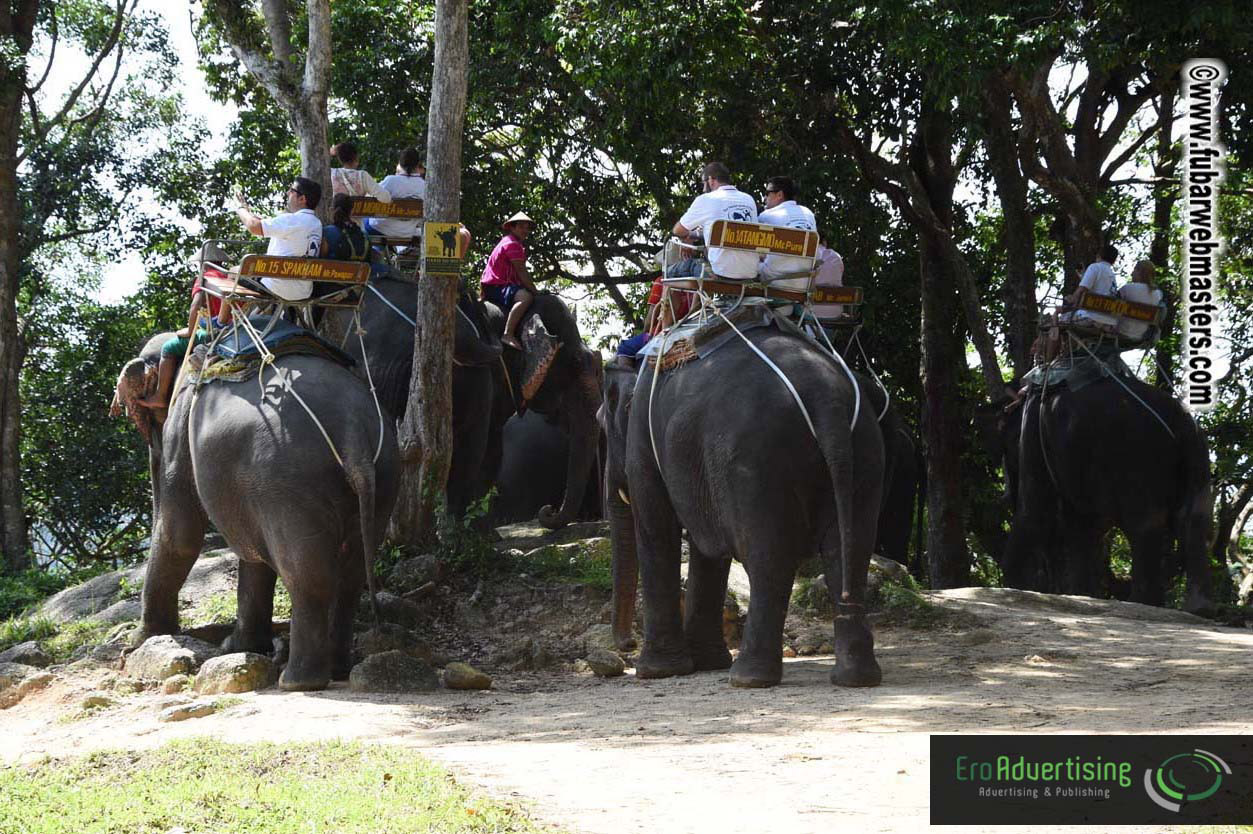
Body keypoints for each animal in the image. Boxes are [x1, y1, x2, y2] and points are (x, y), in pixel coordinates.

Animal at [113, 332, 400, 691]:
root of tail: (353, 433)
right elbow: (252, 556)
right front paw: (239, 647)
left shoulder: (181, 423)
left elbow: (180, 535)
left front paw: (138, 640)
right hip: (382, 477)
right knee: (351, 576)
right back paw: (338, 668)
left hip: (288, 482)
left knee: (307, 576)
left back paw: (297, 681)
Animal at [602, 317, 885, 688]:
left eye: (603, 426)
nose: (626, 647)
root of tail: (827, 401)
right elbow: (706, 550)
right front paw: (707, 663)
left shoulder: (643, 438)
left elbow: (656, 527)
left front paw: (656, 672)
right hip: (864, 451)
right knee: (849, 552)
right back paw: (856, 677)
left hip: (757, 462)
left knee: (768, 558)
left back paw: (748, 677)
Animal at [978, 375, 1213, 610]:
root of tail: (1179, 420)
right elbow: (1080, 526)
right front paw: (1082, 595)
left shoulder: (1034, 429)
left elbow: (1037, 510)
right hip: (1197, 452)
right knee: (1193, 518)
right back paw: (1199, 608)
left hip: (1138, 455)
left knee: (1144, 524)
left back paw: (1142, 602)